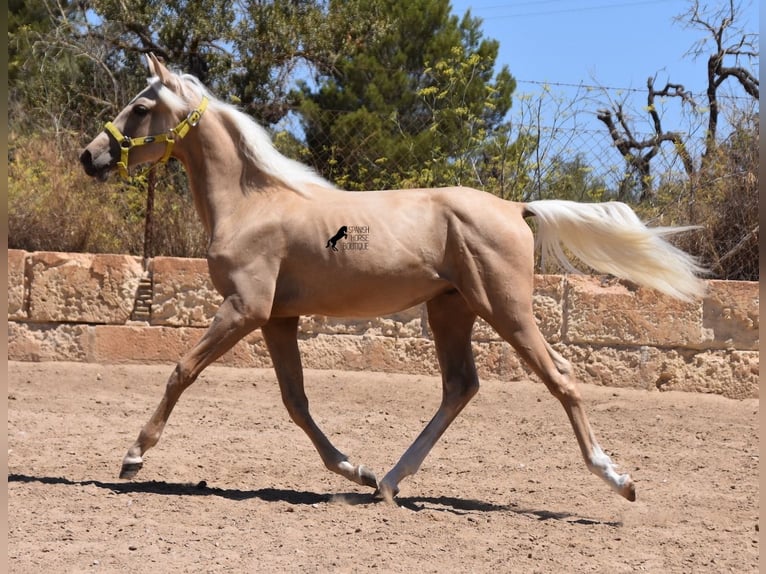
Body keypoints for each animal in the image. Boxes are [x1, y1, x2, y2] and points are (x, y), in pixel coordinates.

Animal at [79, 54, 708, 504]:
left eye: (141, 107)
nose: (90, 157)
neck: (252, 203)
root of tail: (516, 207)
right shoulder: (278, 318)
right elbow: (295, 401)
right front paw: (354, 470)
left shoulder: (245, 308)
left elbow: (182, 370)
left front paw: (133, 457)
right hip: (451, 309)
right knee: (461, 386)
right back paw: (387, 482)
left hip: (505, 309)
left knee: (561, 377)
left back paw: (618, 480)